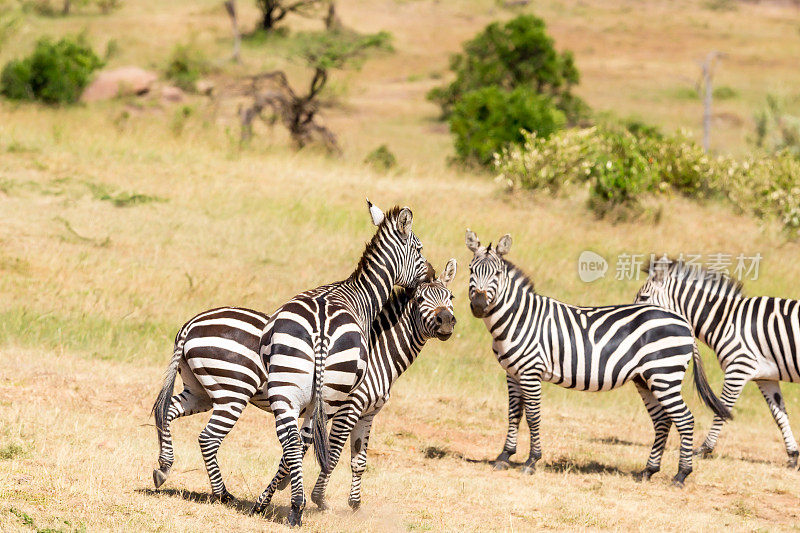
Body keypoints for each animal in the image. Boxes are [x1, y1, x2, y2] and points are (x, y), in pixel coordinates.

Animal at [253, 260, 460, 512]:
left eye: (450, 296)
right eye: (420, 299)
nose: (446, 322)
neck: (378, 356)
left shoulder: (368, 413)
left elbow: (359, 459)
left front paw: (354, 503)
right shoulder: (349, 408)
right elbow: (330, 456)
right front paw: (316, 499)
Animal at [256, 201, 432, 524]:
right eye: (419, 249)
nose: (433, 274)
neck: (360, 293)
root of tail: (321, 326)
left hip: (287, 388)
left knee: (291, 439)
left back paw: (274, 502)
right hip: (331, 396)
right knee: (305, 440)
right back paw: (297, 505)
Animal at [462, 230, 732, 486]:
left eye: (497, 273)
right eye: (471, 270)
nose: (478, 305)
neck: (519, 318)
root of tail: (684, 322)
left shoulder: (530, 372)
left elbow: (532, 416)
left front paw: (531, 461)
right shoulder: (512, 373)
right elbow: (514, 414)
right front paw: (504, 456)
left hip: (664, 375)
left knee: (685, 419)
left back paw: (681, 475)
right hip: (646, 379)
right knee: (662, 421)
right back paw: (648, 471)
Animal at [636, 258, 800, 466]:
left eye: (643, 297)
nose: (635, 320)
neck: (725, 320)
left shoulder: (739, 368)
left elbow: (722, 409)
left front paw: (704, 449)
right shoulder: (765, 377)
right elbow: (779, 415)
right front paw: (793, 455)